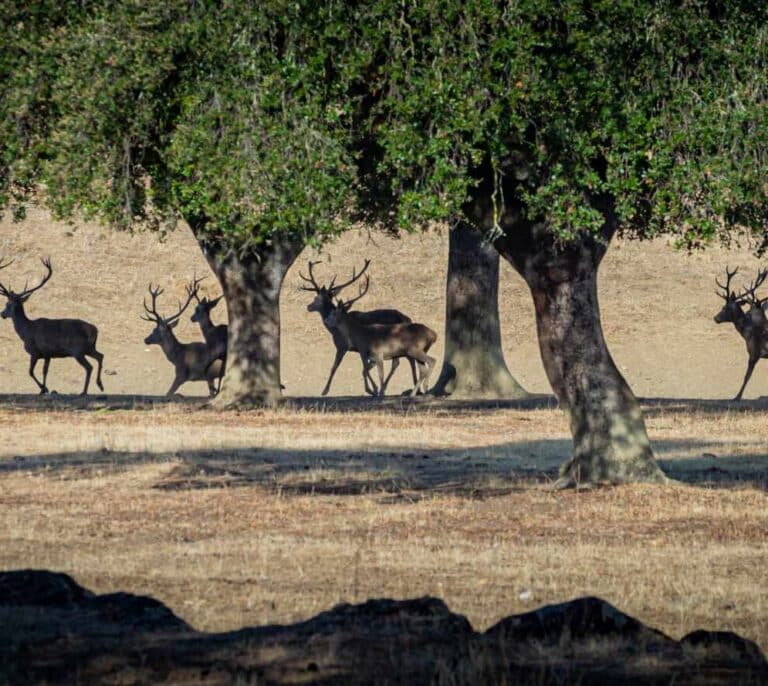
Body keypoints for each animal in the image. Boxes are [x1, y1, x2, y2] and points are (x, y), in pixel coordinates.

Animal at [0, 258, 105, 398]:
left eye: (7, 304)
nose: (2, 314)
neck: (26, 332)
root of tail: (94, 330)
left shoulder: (36, 352)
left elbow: (31, 372)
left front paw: (44, 388)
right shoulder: (48, 354)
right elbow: (45, 371)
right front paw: (44, 389)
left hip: (77, 350)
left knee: (89, 367)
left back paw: (84, 391)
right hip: (89, 348)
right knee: (100, 356)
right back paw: (100, 385)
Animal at [302, 260, 420, 398]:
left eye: (315, 298)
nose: (308, 306)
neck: (335, 330)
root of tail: (407, 319)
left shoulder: (343, 346)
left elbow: (335, 367)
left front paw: (324, 391)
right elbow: (364, 367)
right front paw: (373, 389)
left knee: (406, 360)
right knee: (401, 361)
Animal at [712, 266, 768, 400]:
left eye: (726, 308)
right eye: (723, 306)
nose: (716, 318)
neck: (748, 334)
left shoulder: (754, 353)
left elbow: (747, 376)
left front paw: (737, 397)